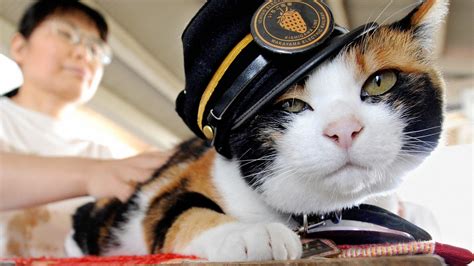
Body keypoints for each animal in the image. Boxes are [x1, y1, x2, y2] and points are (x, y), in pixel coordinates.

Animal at [66, 0, 448, 262]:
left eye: (380, 81)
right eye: (291, 104)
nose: (343, 130)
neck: (310, 215)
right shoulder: (168, 189)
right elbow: (183, 209)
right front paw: (249, 233)